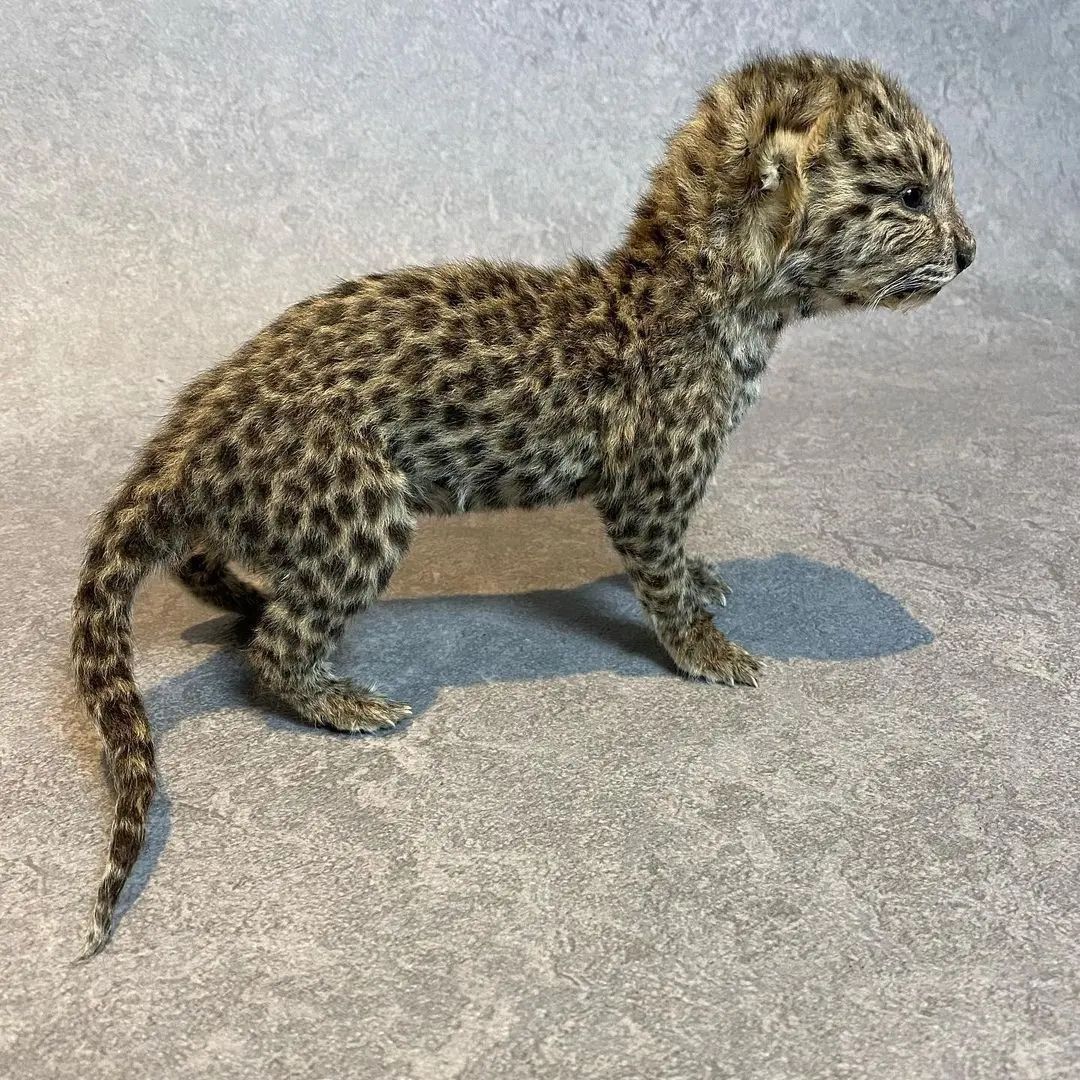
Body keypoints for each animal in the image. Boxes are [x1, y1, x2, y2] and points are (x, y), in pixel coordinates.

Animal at [70, 52, 975, 956]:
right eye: (911, 197)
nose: (970, 252)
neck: (716, 304)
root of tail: (187, 438)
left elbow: (679, 562)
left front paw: (704, 577)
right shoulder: (646, 492)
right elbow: (663, 585)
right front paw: (707, 650)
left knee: (208, 567)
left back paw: (246, 597)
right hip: (360, 511)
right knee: (273, 649)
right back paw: (344, 701)